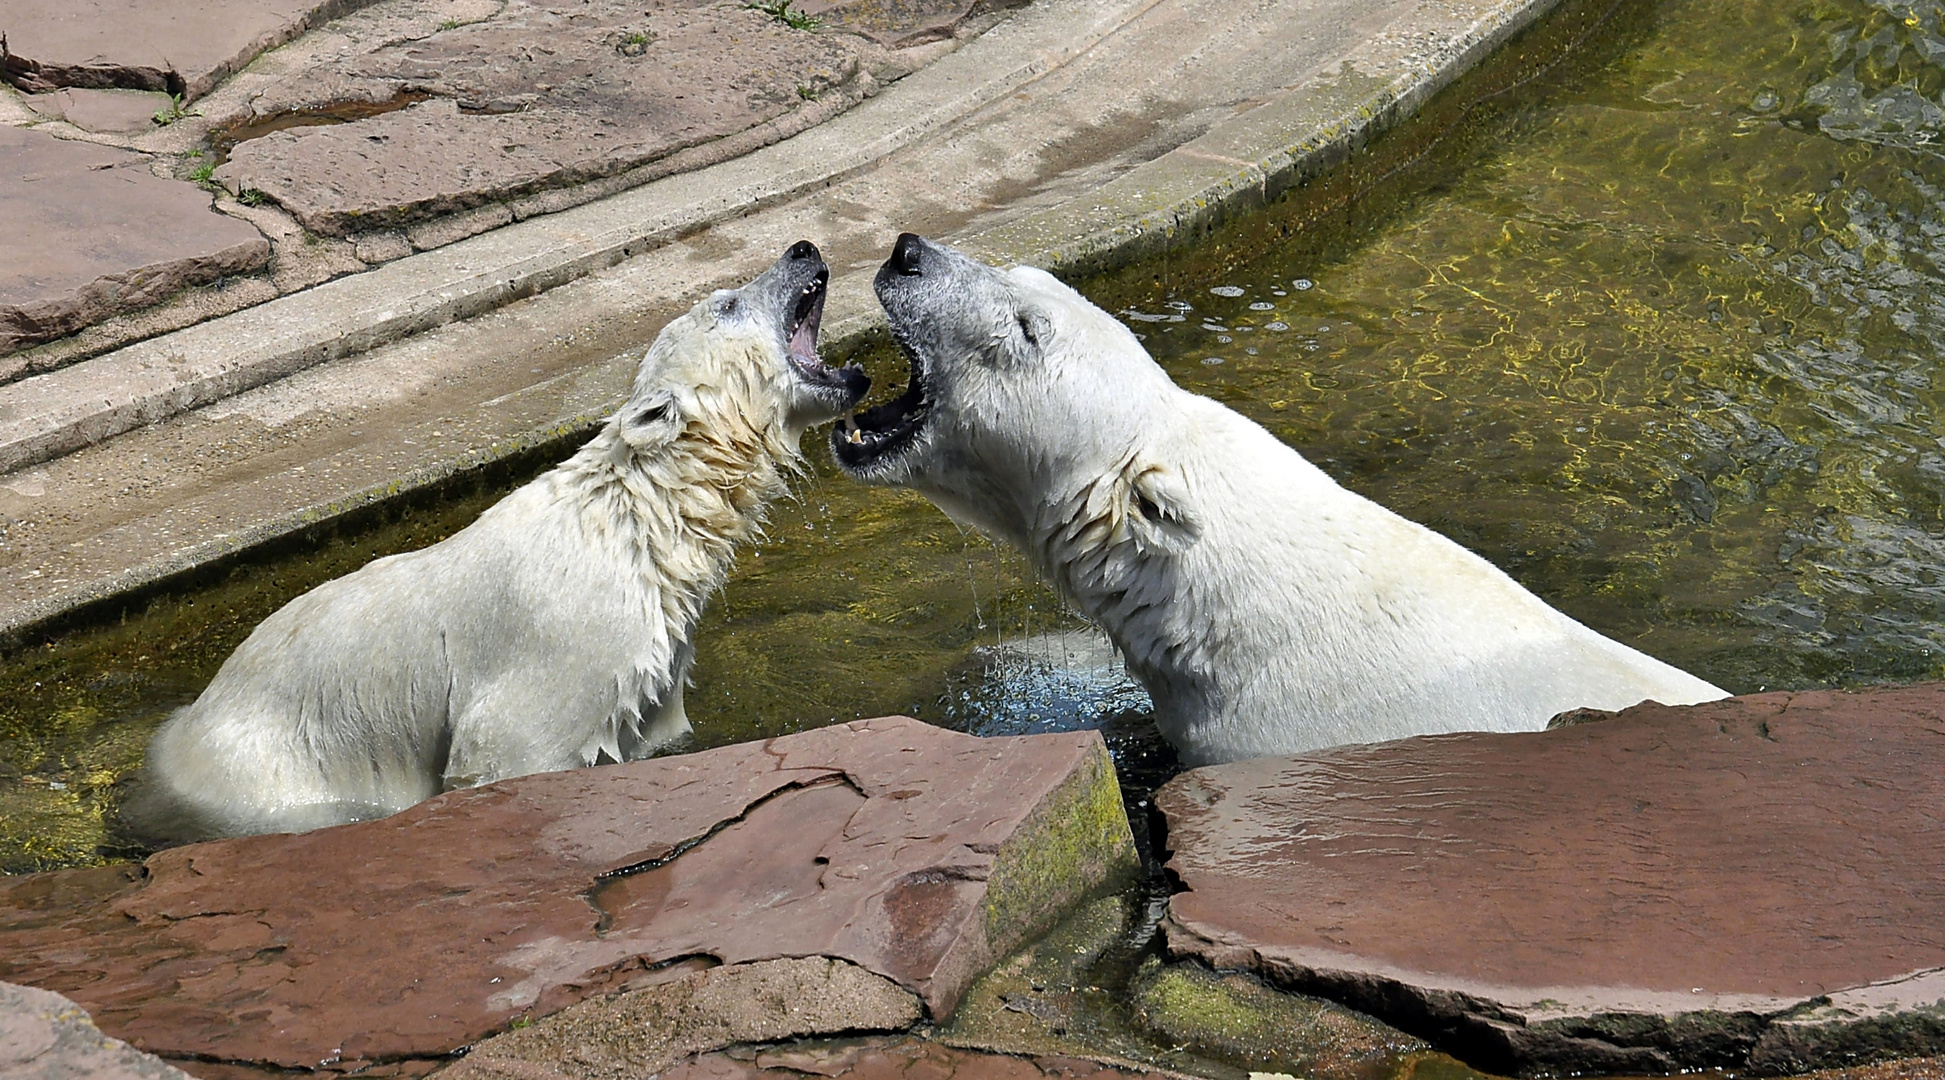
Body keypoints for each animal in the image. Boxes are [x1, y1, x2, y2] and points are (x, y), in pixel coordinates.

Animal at [137, 241, 867, 840]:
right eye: (727, 302)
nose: (802, 248)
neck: (645, 521)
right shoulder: (572, 643)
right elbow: (506, 749)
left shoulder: (659, 658)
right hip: (273, 770)